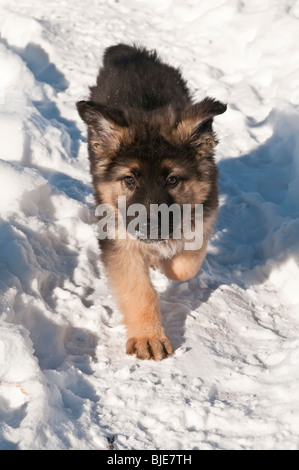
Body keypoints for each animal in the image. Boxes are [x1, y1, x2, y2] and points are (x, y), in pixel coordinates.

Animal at [76, 44, 226, 360]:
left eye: (172, 180)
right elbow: (138, 289)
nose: (148, 230)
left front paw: (165, 262)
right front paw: (148, 337)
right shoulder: (117, 235)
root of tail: (129, 52)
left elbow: (185, 266)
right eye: (130, 180)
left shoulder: (206, 210)